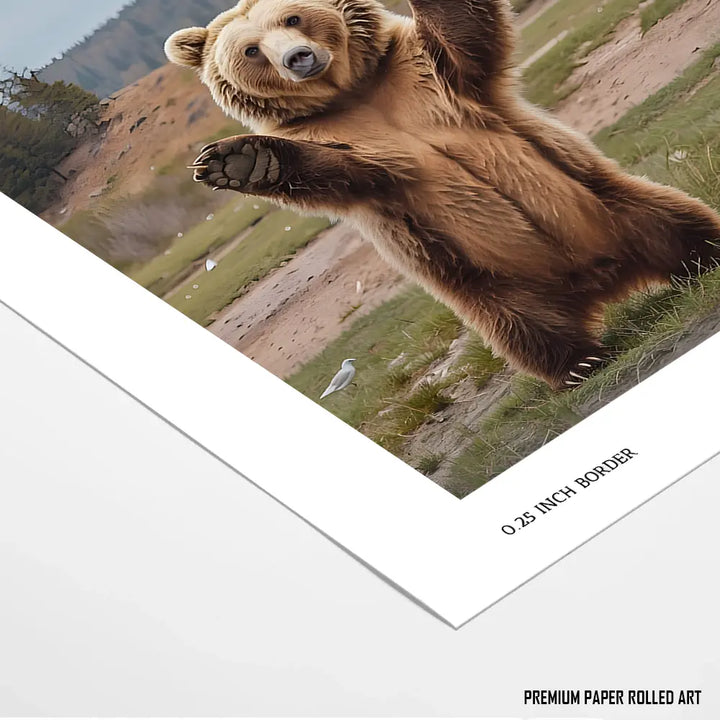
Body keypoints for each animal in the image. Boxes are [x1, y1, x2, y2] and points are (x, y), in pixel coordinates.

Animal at [165, 0, 720, 389]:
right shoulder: (352, 147)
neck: (354, 94)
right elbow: (346, 172)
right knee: (528, 332)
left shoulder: (421, 73)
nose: (298, 58)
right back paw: (581, 363)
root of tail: (606, 278)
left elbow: (463, 34)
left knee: (677, 224)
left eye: (293, 17)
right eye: (250, 49)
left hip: (611, 201)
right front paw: (241, 160)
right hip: (488, 286)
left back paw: (703, 261)